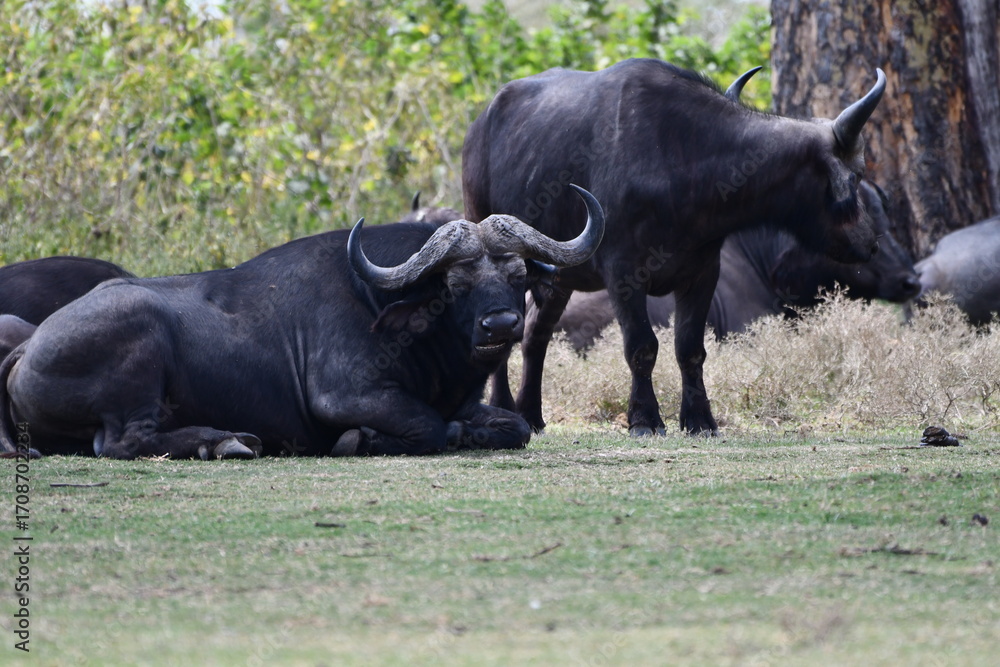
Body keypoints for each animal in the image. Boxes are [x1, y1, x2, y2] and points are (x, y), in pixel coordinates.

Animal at [0, 186, 604, 459]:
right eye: (455, 285)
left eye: (519, 275)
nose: (501, 325)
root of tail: (27, 349)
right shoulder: (345, 395)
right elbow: (430, 428)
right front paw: (361, 439)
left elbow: (516, 426)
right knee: (123, 442)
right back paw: (225, 441)